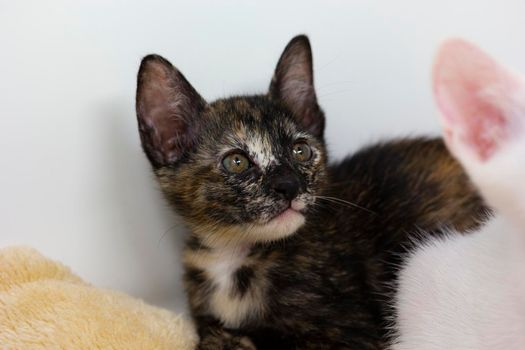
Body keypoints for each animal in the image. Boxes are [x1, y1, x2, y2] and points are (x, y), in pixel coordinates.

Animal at [136, 34, 488, 348]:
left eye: (301, 151)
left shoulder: (355, 333)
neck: (233, 257)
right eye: (237, 162)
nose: (289, 186)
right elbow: (213, 331)